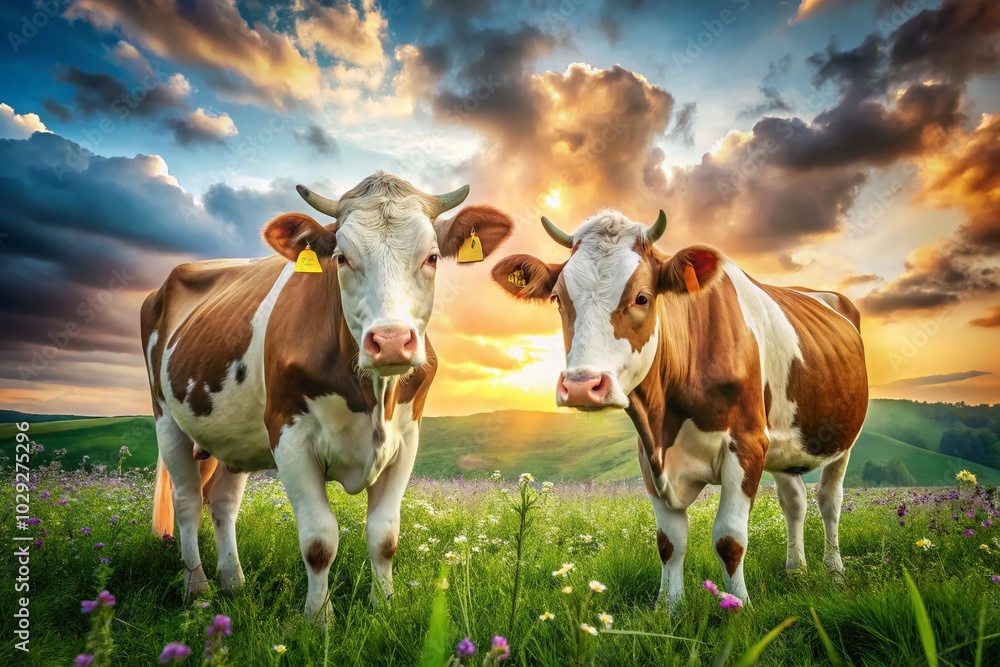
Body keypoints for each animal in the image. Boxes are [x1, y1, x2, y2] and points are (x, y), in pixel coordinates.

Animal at [141, 172, 514, 620]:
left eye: (433, 257)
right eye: (341, 258)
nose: (391, 341)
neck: (373, 398)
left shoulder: (407, 439)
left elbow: (385, 536)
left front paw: (383, 607)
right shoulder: (288, 436)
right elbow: (319, 540)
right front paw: (319, 619)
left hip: (233, 438)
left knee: (223, 502)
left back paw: (233, 583)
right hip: (166, 419)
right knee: (186, 503)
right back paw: (196, 589)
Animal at [490, 209, 867, 609]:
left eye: (642, 297)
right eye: (559, 299)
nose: (581, 385)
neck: (666, 417)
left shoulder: (748, 443)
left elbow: (730, 538)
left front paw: (739, 606)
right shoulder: (649, 452)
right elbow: (670, 541)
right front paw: (668, 609)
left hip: (843, 439)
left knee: (829, 501)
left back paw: (834, 571)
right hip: (784, 445)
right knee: (794, 502)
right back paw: (796, 570)